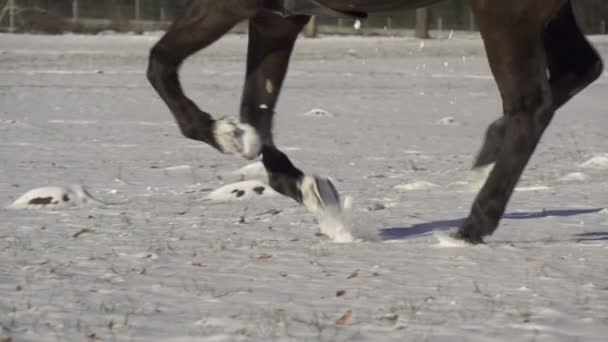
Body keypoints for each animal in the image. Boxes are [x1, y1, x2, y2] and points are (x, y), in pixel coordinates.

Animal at [147, 1, 604, 244]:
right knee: (581, 68)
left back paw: (470, 228)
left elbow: (159, 65)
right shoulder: (275, 19)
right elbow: (257, 113)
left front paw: (226, 135)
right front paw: (311, 191)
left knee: (531, 106)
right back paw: (488, 151)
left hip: (507, 14)